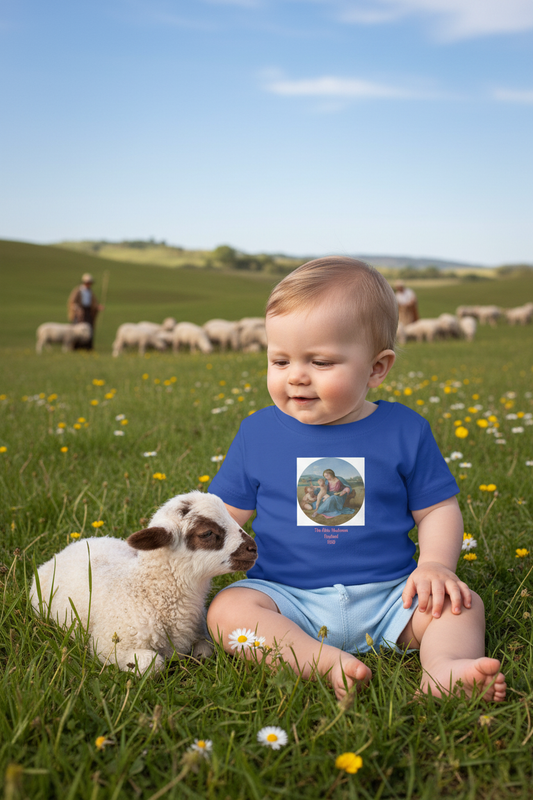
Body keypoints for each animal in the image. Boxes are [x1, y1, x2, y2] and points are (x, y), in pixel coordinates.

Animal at [31, 491, 258, 674]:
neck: (147, 591)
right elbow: (153, 664)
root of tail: (77, 543)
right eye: (207, 533)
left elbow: (205, 651)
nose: (253, 548)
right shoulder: (108, 646)